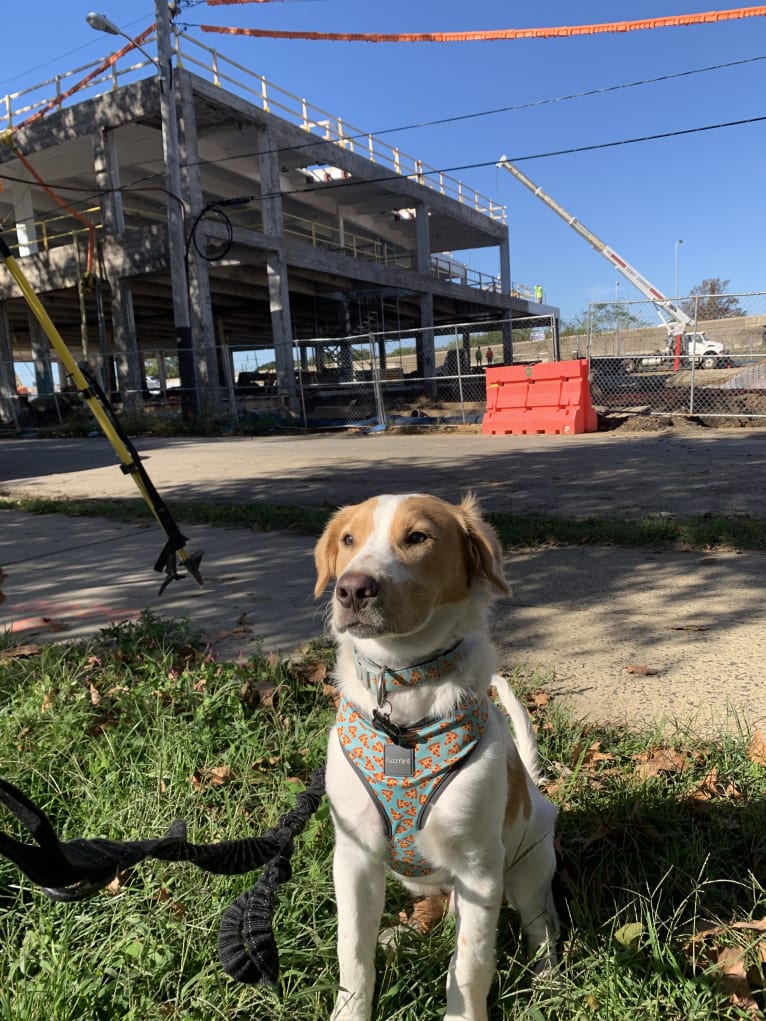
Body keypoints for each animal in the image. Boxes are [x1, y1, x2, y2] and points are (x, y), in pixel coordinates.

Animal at [314, 494, 559, 1021]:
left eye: (417, 537)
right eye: (348, 539)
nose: (352, 590)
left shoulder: (480, 867)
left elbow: (469, 965)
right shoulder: (354, 856)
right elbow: (353, 953)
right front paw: (351, 1009)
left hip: (529, 866)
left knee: (542, 925)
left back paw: (549, 983)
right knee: (438, 912)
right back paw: (403, 934)